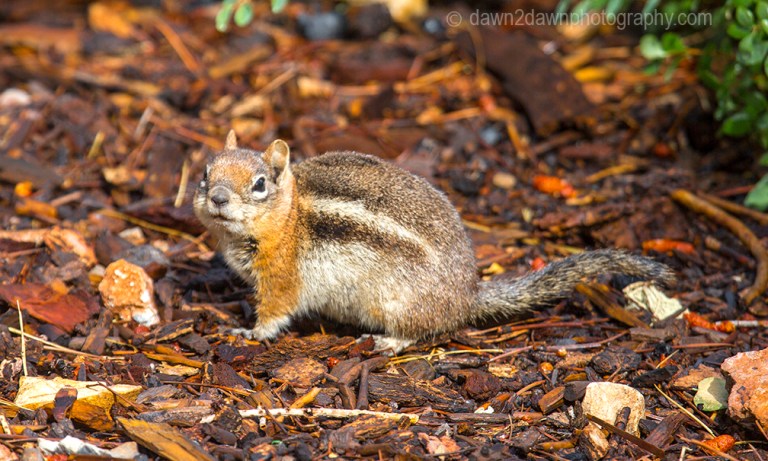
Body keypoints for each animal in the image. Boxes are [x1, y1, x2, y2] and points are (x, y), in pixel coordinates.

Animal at [194, 131, 674, 352]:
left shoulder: (281, 278)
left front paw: (248, 331)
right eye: (204, 173)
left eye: (259, 184)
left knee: (423, 331)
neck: (289, 216)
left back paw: (390, 342)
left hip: (395, 305)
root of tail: (467, 296)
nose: (216, 197)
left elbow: (274, 312)